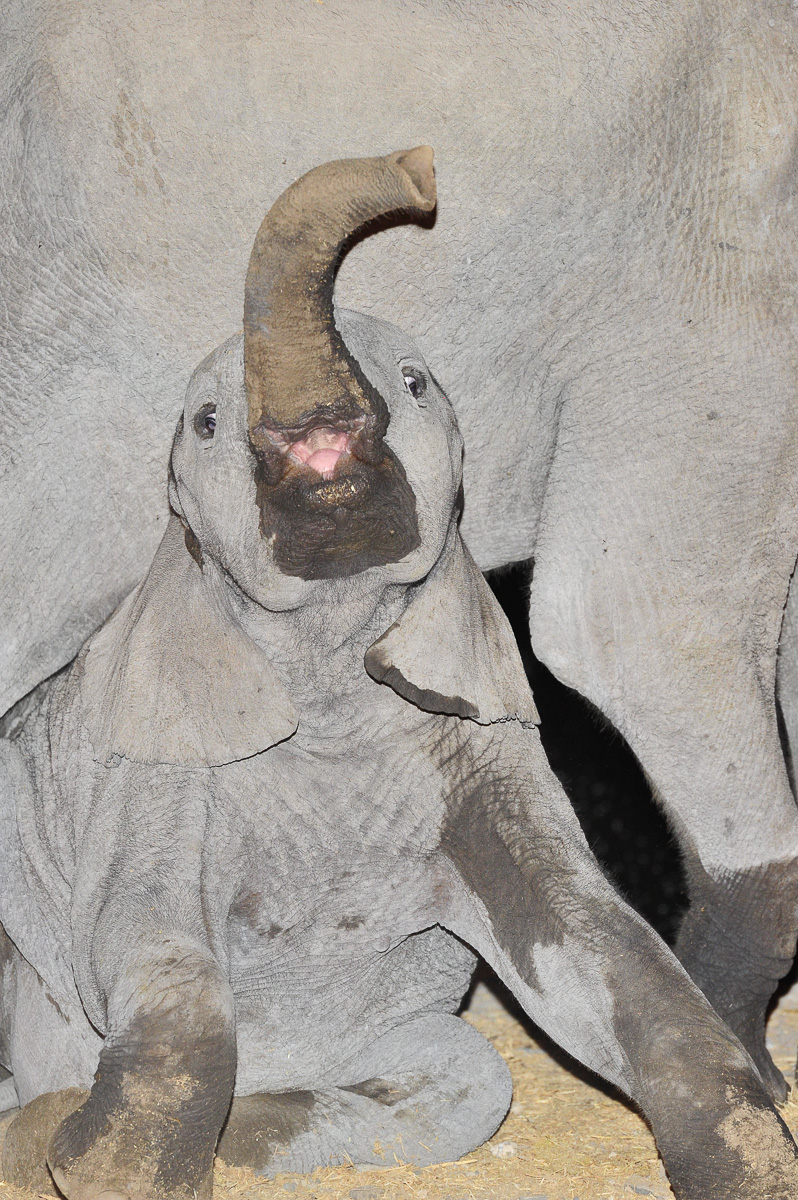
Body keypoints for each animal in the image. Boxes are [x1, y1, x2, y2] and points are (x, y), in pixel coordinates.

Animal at [3, 0, 798, 1104]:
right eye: (203, 422)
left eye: (419, 386)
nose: (419, 169)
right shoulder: (711, 270)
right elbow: (627, 631)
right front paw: (749, 1079)